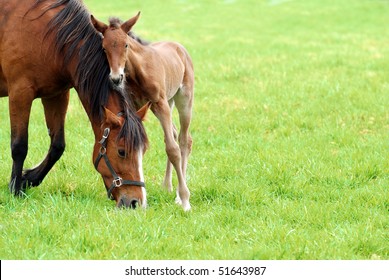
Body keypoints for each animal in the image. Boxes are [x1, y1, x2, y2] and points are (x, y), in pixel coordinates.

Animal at [91, 13, 194, 210]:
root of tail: (179, 48)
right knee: (174, 133)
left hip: (183, 99)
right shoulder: (137, 106)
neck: (139, 70)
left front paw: (185, 200)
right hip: (166, 103)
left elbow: (173, 149)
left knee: (184, 140)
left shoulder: (160, 103)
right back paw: (167, 186)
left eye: (125, 44)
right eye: (104, 47)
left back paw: (179, 195)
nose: (116, 78)